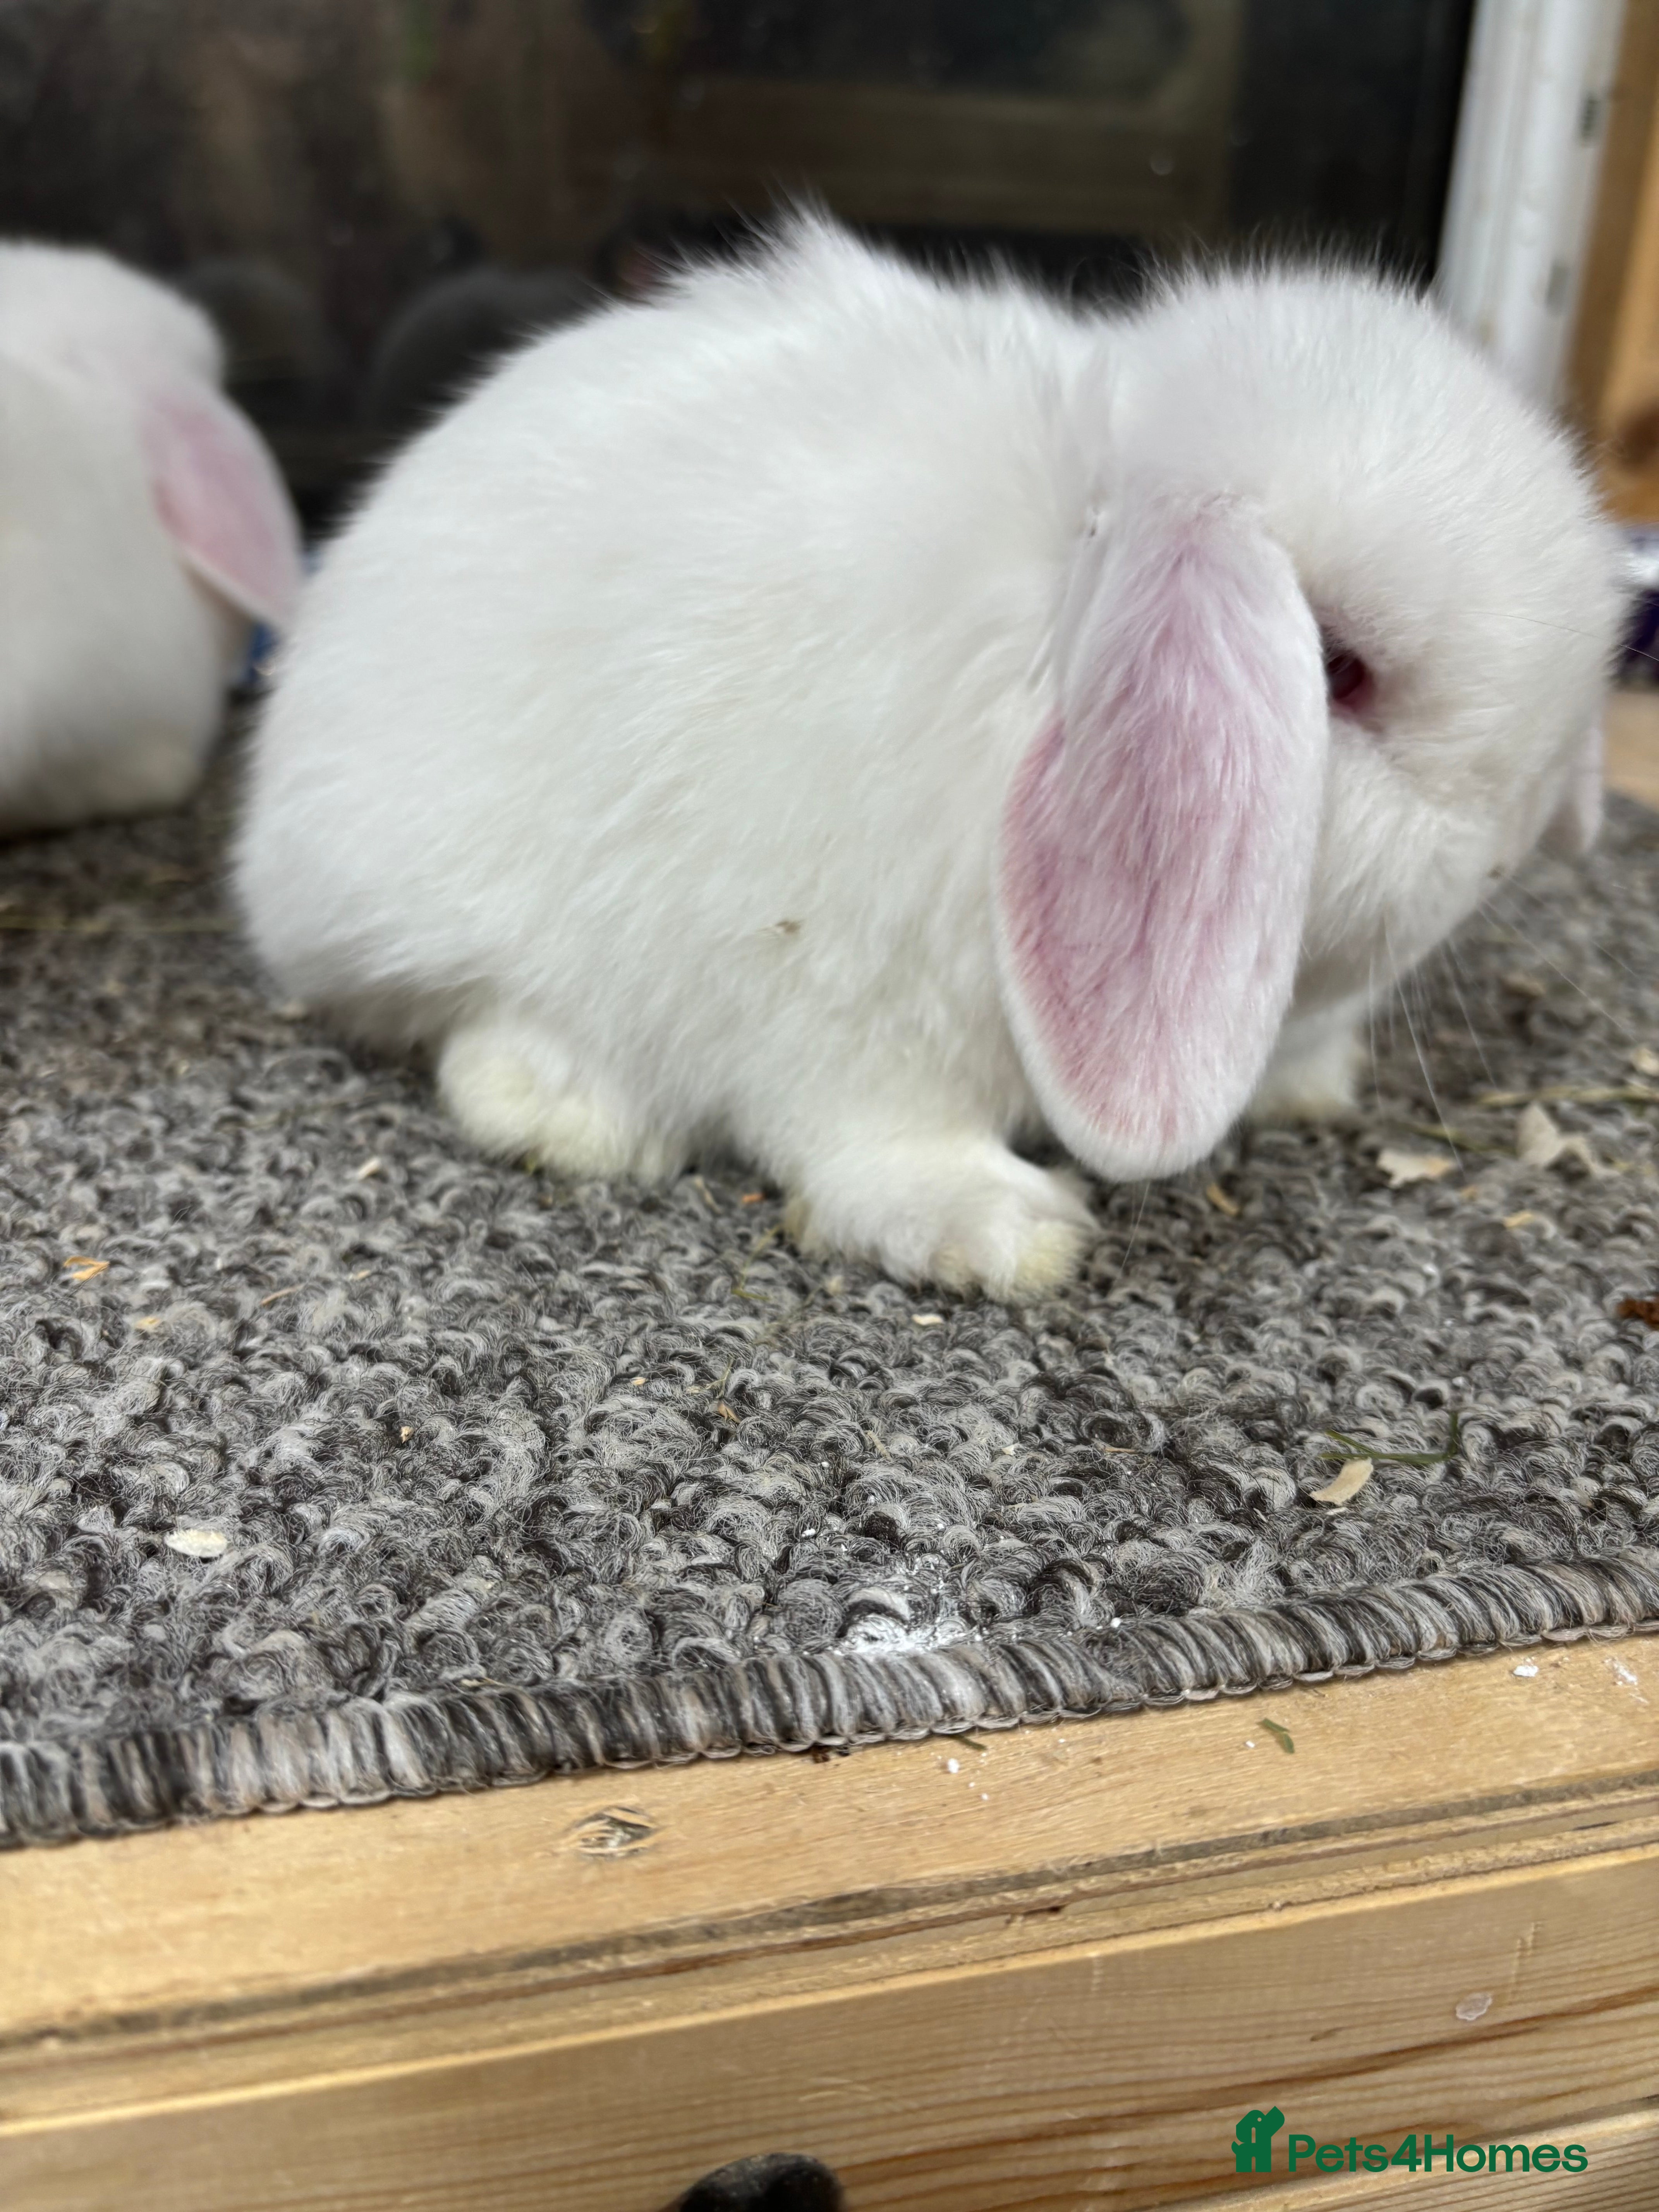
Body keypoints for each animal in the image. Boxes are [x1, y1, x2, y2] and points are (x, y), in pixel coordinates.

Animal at [235, 217, 1623, 1295]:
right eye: (1338, 671)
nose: (1526, 840)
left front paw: (1312, 1083)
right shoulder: (839, 1007)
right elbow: (871, 1141)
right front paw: (1006, 1234)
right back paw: (577, 1119)